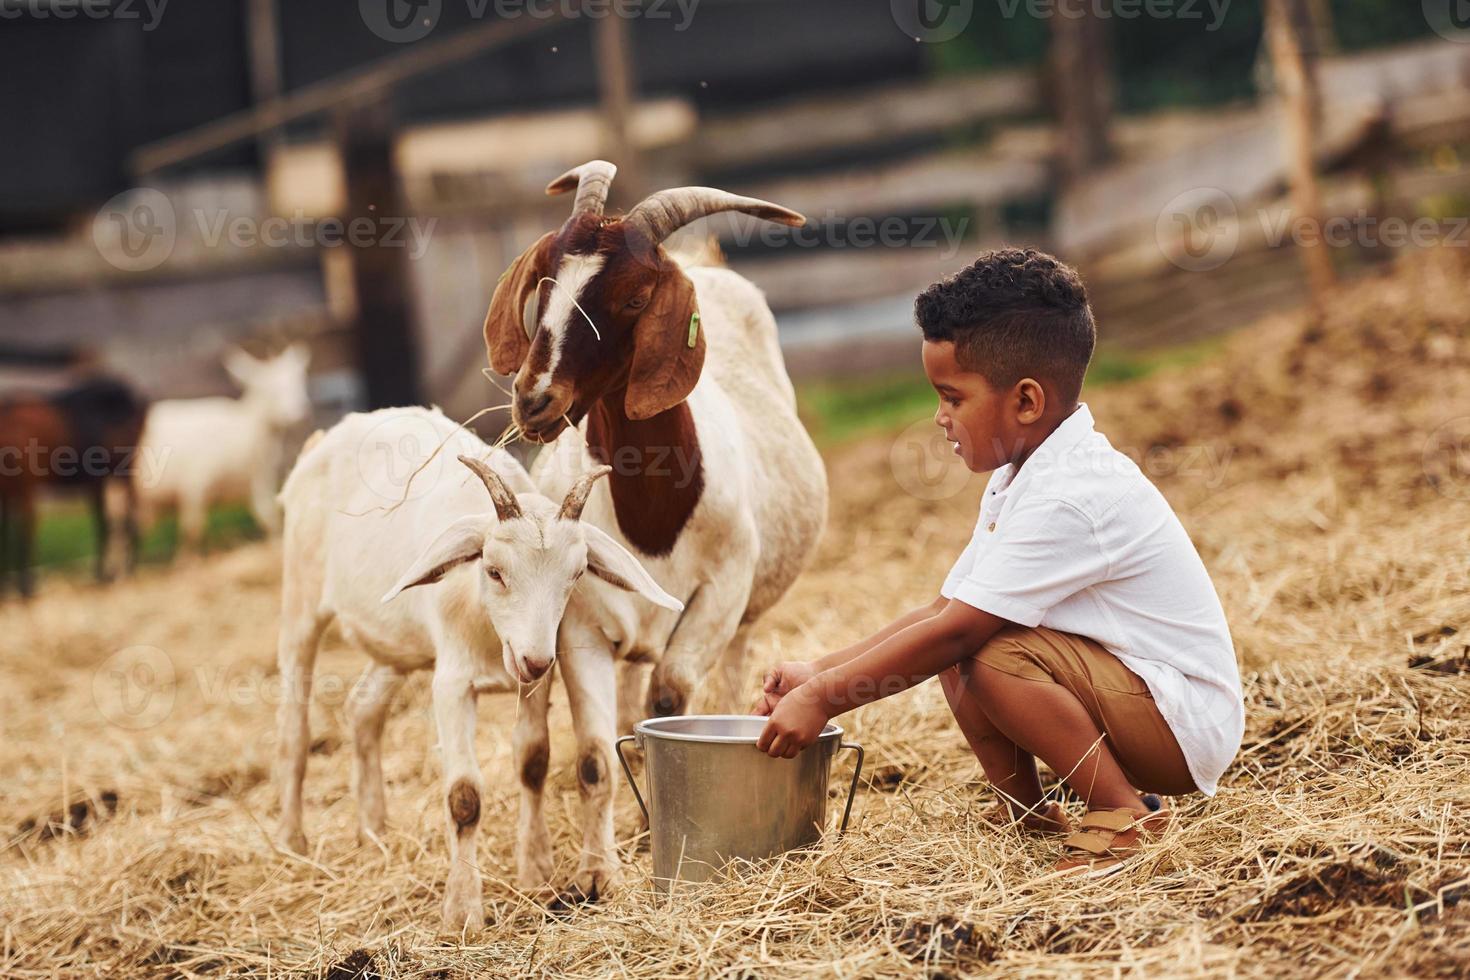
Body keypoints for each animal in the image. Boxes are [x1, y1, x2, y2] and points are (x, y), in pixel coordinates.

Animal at [136, 345, 311, 552]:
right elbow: (193, 529)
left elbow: (267, 516)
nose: (299, 413)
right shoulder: (194, 486)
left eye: (298, 378)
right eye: (267, 388)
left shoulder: (259, 480)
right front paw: (188, 558)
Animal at [276, 411, 682, 934]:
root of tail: (327, 438)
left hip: (397, 645)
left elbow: (532, 761)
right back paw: (291, 840)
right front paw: (463, 912)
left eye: (576, 575)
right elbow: (464, 797)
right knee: (294, 728)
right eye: (493, 570)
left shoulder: (535, 683)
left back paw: (373, 831)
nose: (534, 659)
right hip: (300, 602)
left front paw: (535, 869)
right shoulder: (452, 683)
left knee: (363, 708)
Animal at [482, 160, 829, 905]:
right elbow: (591, 756)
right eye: (545, 277)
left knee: (723, 673)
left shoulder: (719, 595)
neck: (654, 511)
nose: (534, 399)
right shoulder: (580, 625)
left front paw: (652, 824)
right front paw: (596, 874)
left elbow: (668, 698)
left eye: (636, 298)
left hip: (743, 608)